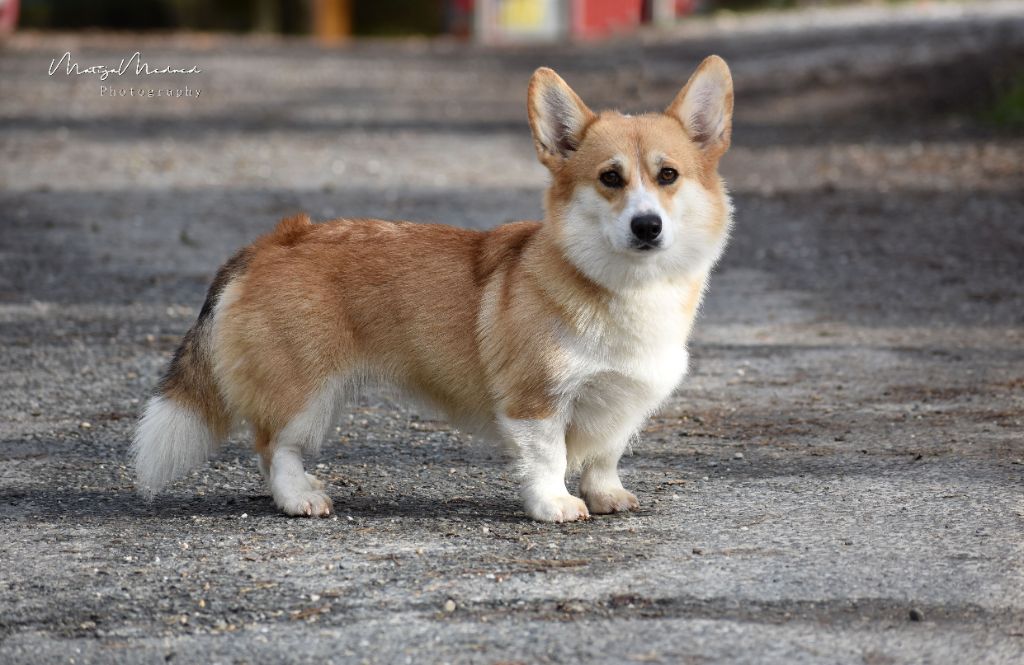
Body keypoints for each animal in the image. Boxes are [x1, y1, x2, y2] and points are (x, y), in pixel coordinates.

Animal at [130, 54, 737, 520]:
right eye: (610, 178)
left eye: (668, 176)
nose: (647, 226)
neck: (624, 287)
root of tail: (274, 239)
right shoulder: (535, 402)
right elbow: (549, 459)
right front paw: (555, 505)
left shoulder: (623, 403)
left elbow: (605, 455)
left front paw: (607, 494)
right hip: (303, 389)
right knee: (272, 447)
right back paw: (300, 498)